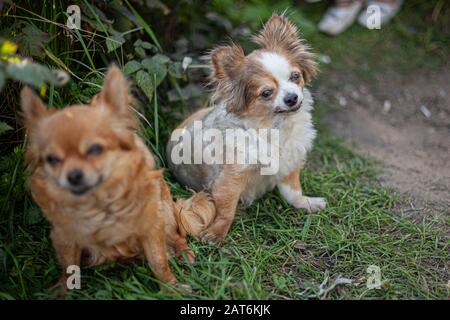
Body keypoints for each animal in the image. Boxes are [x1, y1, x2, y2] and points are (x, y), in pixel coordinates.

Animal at [20, 66, 212, 296]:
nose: (73, 175)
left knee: (178, 236)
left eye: (95, 149)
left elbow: (159, 262)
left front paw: (171, 288)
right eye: (51, 159)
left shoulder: (152, 225)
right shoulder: (63, 237)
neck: (99, 204)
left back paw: (185, 253)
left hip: (165, 211)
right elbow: (68, 268)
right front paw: (61, 292)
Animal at [167, 13, 326, 241]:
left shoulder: (289, 162)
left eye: (295, 76)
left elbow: (293, 192)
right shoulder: (231, 179)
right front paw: (216, 233)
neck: (273, 126)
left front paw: (307, 203)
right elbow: (226, 210)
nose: (292, 97)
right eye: (266, 93)